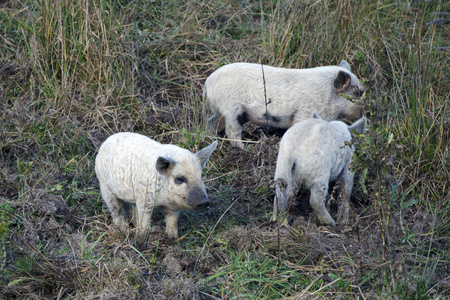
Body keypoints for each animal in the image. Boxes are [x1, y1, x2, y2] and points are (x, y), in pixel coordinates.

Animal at [204, 60, 370, 149]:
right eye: (357, 93)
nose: (367, 111)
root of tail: (208, 84)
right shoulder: (305, 113)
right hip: (231, 108)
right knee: (232, 132)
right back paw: (244, 150)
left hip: (220, 112)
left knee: (211, 123)